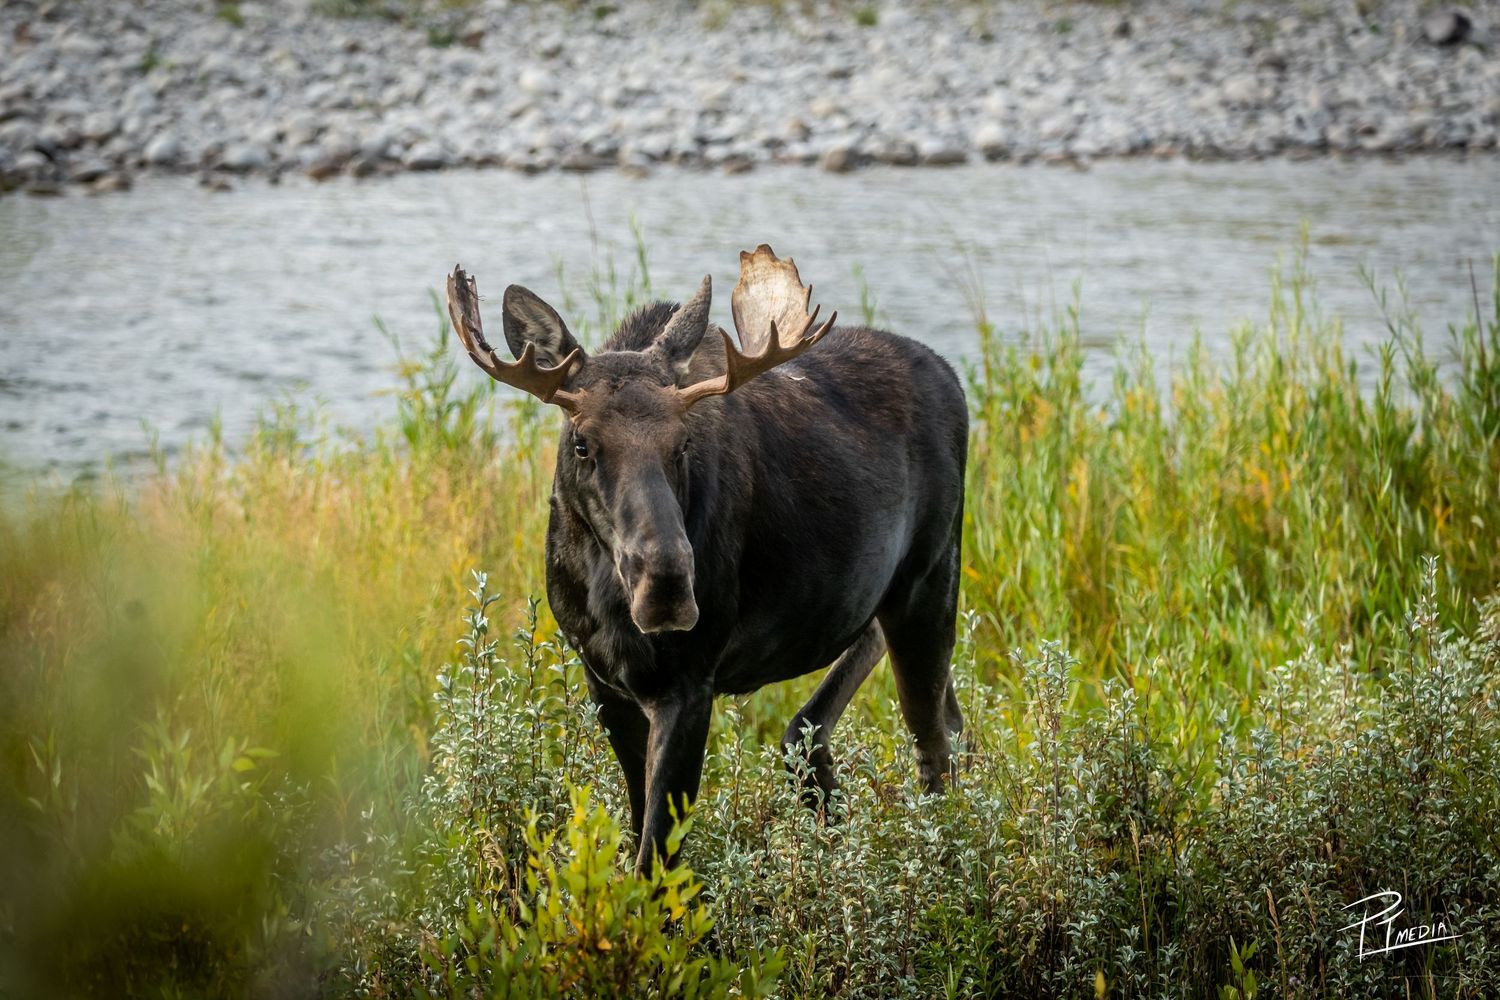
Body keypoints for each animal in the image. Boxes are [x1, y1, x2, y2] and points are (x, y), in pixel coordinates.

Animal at [446, 245, 968, 870]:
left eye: (683, 442)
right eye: (582, 442)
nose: (668, 585)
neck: (601, 594)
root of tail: (954, 376)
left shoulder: (690, 683)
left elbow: (654, 858)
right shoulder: (604, 682)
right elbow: (638, 833)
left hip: (931, 580)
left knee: (934, 744)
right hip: (875, 598)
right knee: (887, 711)